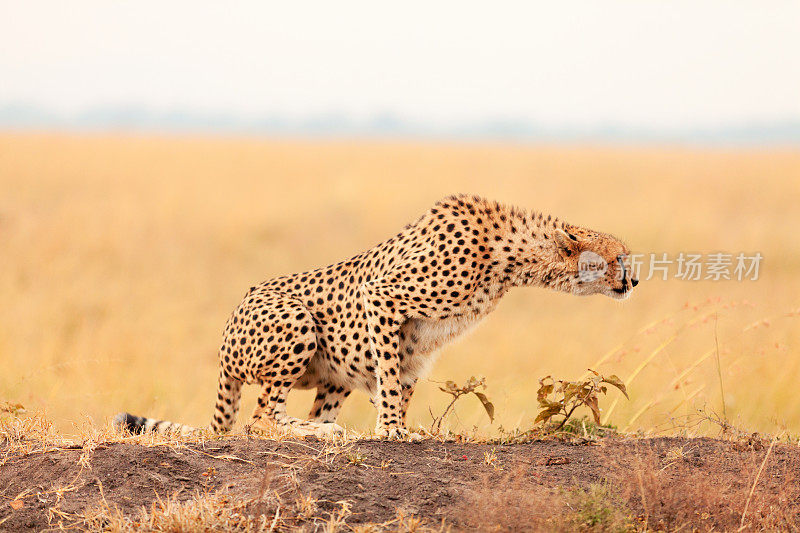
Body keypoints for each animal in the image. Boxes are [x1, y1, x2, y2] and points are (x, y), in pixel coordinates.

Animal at [115, 193, 636, 438]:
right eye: (618, 258)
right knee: (259, 421)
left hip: (336, 372)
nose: (633, 282)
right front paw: (392, 430)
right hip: (297, 321)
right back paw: (320, 432)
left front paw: (406, 427)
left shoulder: (419, 342)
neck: (510, 256)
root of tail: (227, 328)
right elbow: (388, 377)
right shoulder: (383, 298)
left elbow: (400, 381)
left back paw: (323, 426)